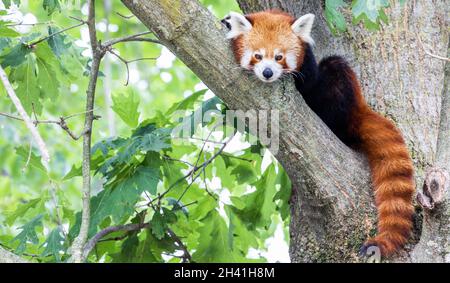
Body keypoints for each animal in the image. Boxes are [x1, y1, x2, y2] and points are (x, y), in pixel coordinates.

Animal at [221, 10, 414, 258]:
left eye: (279, 57)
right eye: (257, 56)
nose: (267, 72)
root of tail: (358, 110)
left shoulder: (309, 68)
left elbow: (310, 80)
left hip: (342, 95)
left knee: (335, 67)